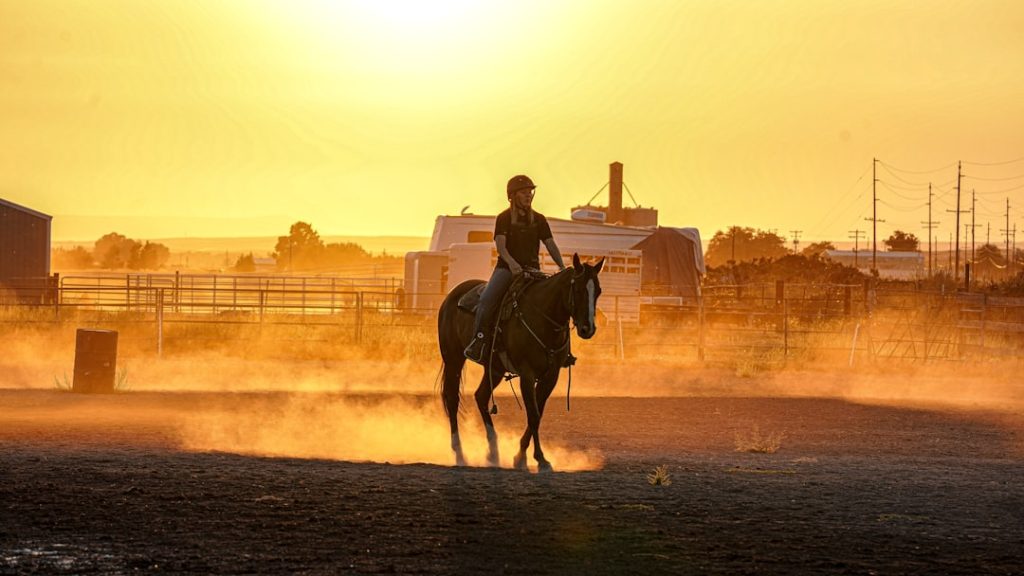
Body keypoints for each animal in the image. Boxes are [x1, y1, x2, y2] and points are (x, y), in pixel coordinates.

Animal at [437, 253, 605, 472]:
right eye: (577, 289)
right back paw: (459, 453)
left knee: (481, 396)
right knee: (453, 398)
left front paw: (520, 456)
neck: (543, 317)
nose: (588, 329)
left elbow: (538, 414)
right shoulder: (527, 374)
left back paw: (493, 452)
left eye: (598, 291)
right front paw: (538, 459)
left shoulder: (550, 376)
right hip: (453, 359)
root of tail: (452, 295)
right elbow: (533, 415)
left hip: (495, 369)